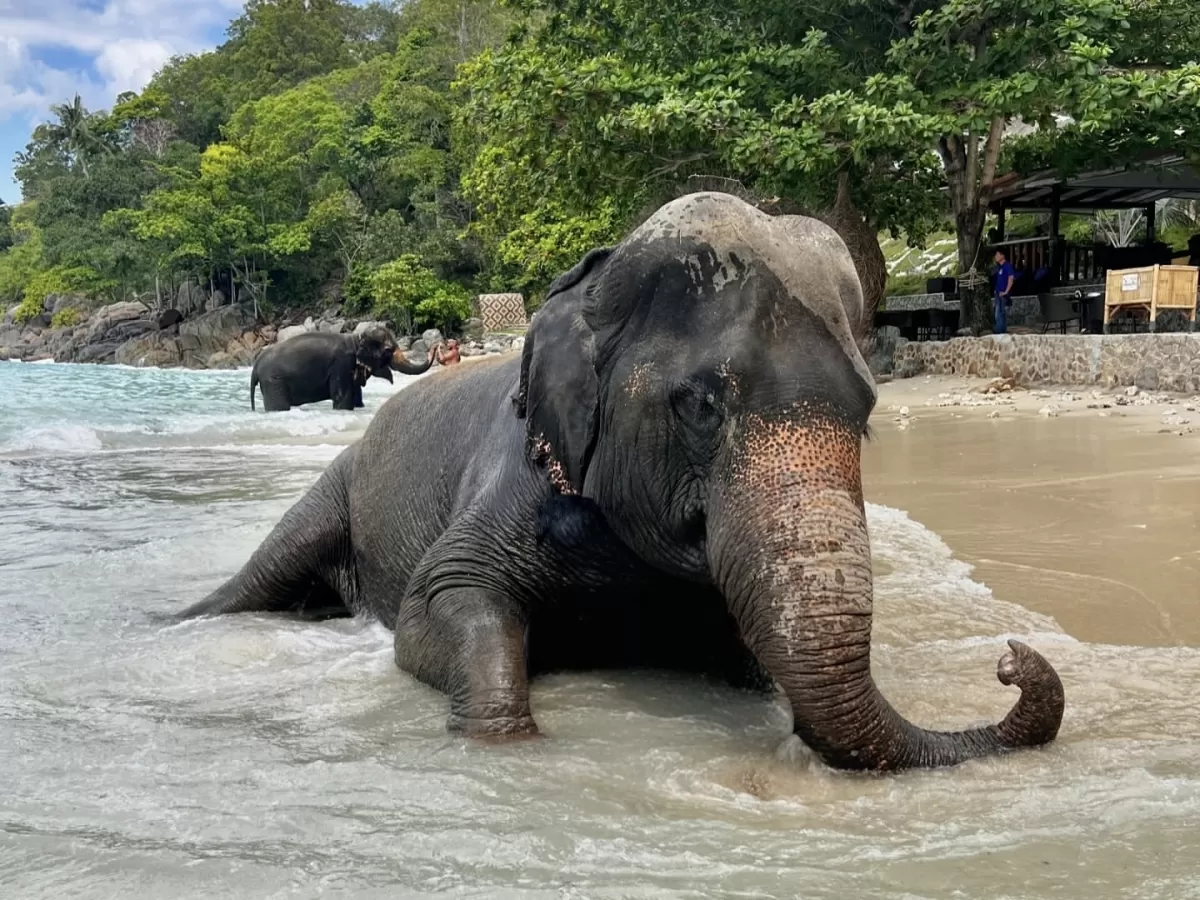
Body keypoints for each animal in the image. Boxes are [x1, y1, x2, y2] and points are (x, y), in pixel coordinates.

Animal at [249, 326, 438, 411]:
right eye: (388, 350)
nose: (436, 346)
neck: (356, 338)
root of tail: (256, 364)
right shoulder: (341, 364)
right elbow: (342, 399)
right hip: (273, 381)